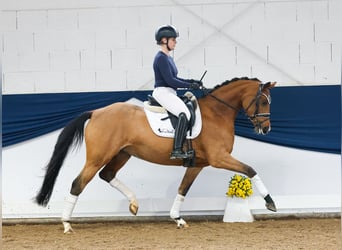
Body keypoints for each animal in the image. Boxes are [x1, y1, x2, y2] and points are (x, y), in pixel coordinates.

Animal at [34, 77, 276, 233]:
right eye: (264, 101)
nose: (266, 129)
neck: (217, 113)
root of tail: (95, 112)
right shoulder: (219, 158)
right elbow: (251, 170)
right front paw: (270, 203)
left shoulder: (198, 163)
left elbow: (183, 189)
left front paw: (177, 219)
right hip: (98, 157)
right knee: (79, 183)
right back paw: (66, 224)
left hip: (122, 154)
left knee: (107, 175)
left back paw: (134, 204)